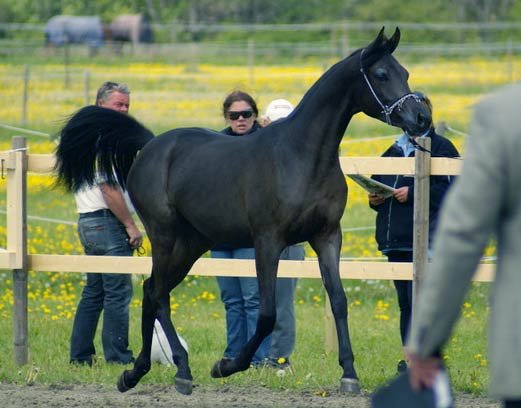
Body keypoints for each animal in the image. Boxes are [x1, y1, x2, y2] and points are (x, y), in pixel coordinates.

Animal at [55, 27, 430, 396]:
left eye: (405, 73)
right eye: (381, 74)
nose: (421, 118)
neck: (302, 156)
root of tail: (150, 145)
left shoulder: (326, 237)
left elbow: (338, 300)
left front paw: (349, 374)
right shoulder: (267, 241)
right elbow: (267, 314)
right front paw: (226, 366)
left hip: (192, 244)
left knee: (150, 291)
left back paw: (136, 372)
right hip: (163, 236)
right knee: (159, 294)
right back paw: (180, 371)